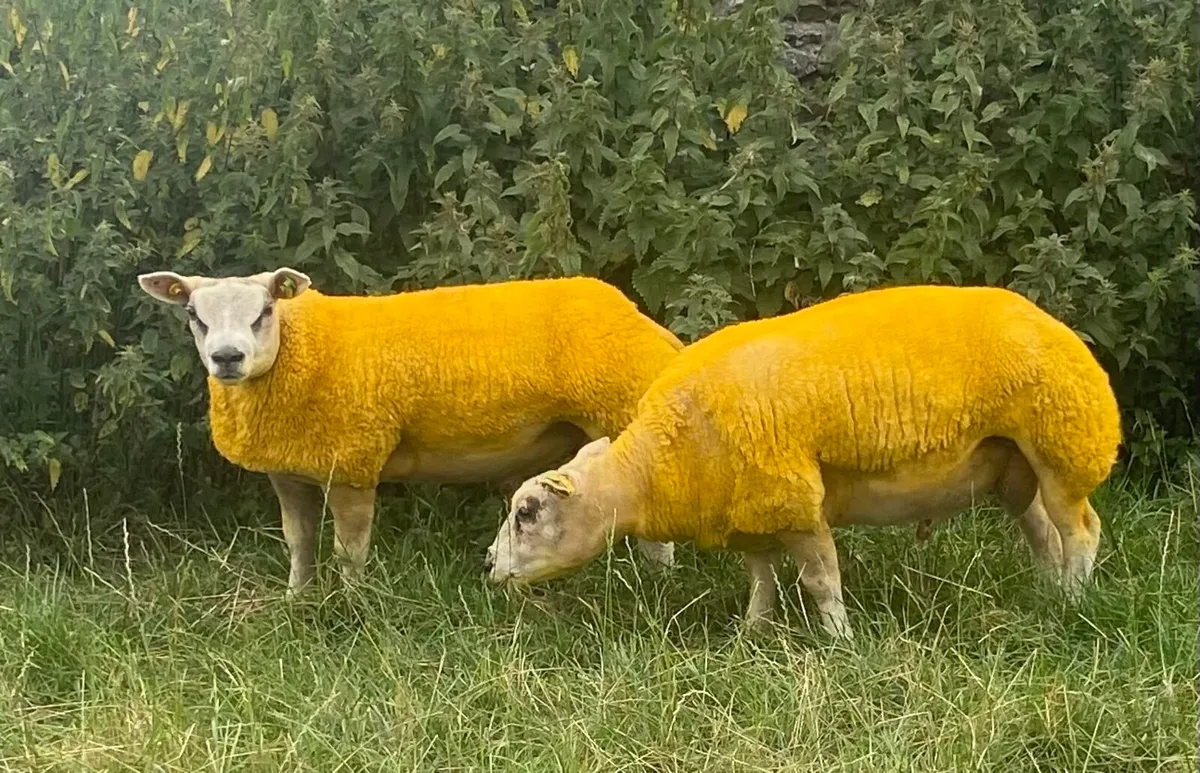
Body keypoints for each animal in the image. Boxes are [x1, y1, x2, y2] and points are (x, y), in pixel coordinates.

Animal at [137, 267, 683, 593]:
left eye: (265, 310)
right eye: (193, 314)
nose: (227, 358)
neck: (300, 352)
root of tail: (633, 314)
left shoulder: (352, 462)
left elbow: (349, 552)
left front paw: (351, 607)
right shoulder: (288, 471)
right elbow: (299, 542)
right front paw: (297, 600)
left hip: (622, 413)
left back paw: (659, 586)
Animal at [483, 284, 1123, 640]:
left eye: (528, 512)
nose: (489, 564)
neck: (657, 465)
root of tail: (1049, 320)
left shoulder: (795, 501)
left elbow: (819, 580)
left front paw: (840, 640)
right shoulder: (750, 512)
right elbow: (762, 579)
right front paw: (752, 632)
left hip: (1064, 444)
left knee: (1080, 530)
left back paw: (1072, 601)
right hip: (1011, 467)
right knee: (1040, 529)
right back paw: (1045, 591)